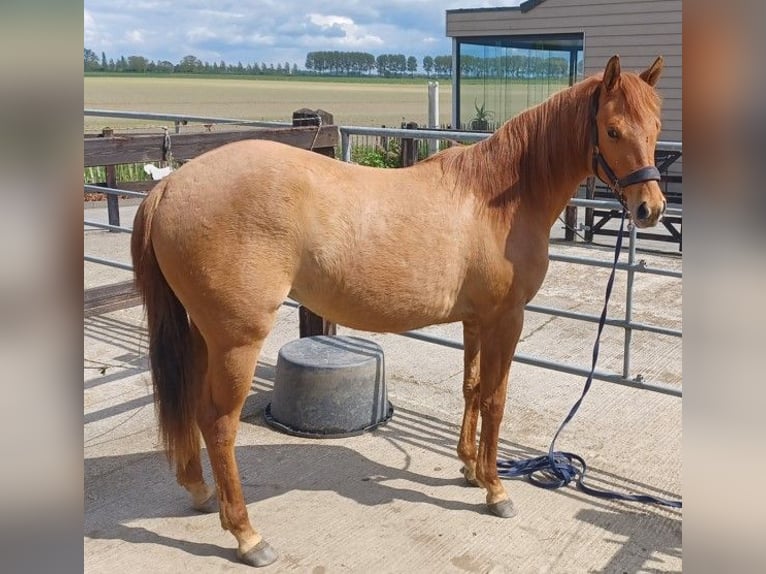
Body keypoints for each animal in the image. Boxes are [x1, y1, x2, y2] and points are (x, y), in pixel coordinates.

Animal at [131, 55, 667, 567]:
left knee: (194, 409)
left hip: (205, 335)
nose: (651, 208)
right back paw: (247, 536)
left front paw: (470, 468)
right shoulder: (506, 319)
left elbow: (472, 389)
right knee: (219, 424)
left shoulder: (477, 320)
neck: (499, 198)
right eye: (612, 130)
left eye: (656, 127)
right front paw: (496, 489)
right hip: (236, 341)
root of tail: (170, 187)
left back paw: (201, 491)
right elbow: (495, 399)